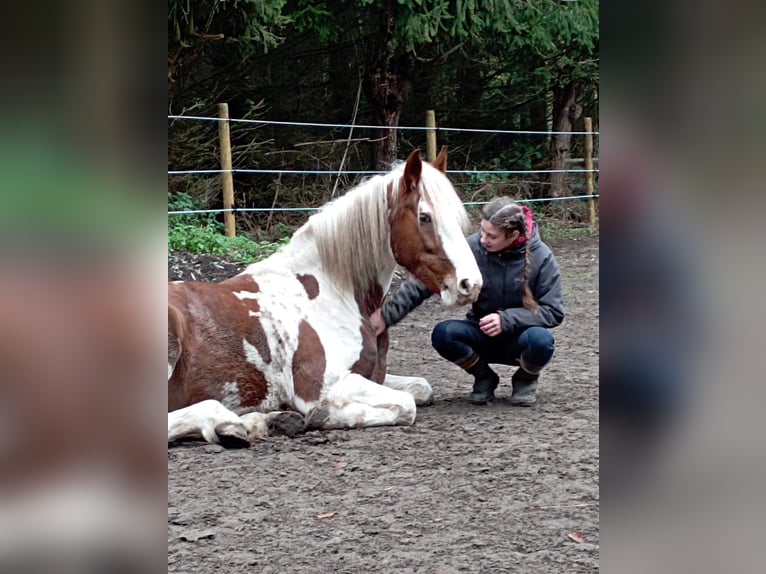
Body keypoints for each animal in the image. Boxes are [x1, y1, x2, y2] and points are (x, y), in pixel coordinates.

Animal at [168, 147, 482, 447]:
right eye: (424, 217)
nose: (471, 284)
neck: (329, 294)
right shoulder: (323, 386)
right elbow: (406, 405)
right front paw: (325, 415)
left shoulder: (368, 375)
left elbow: (421, 388)